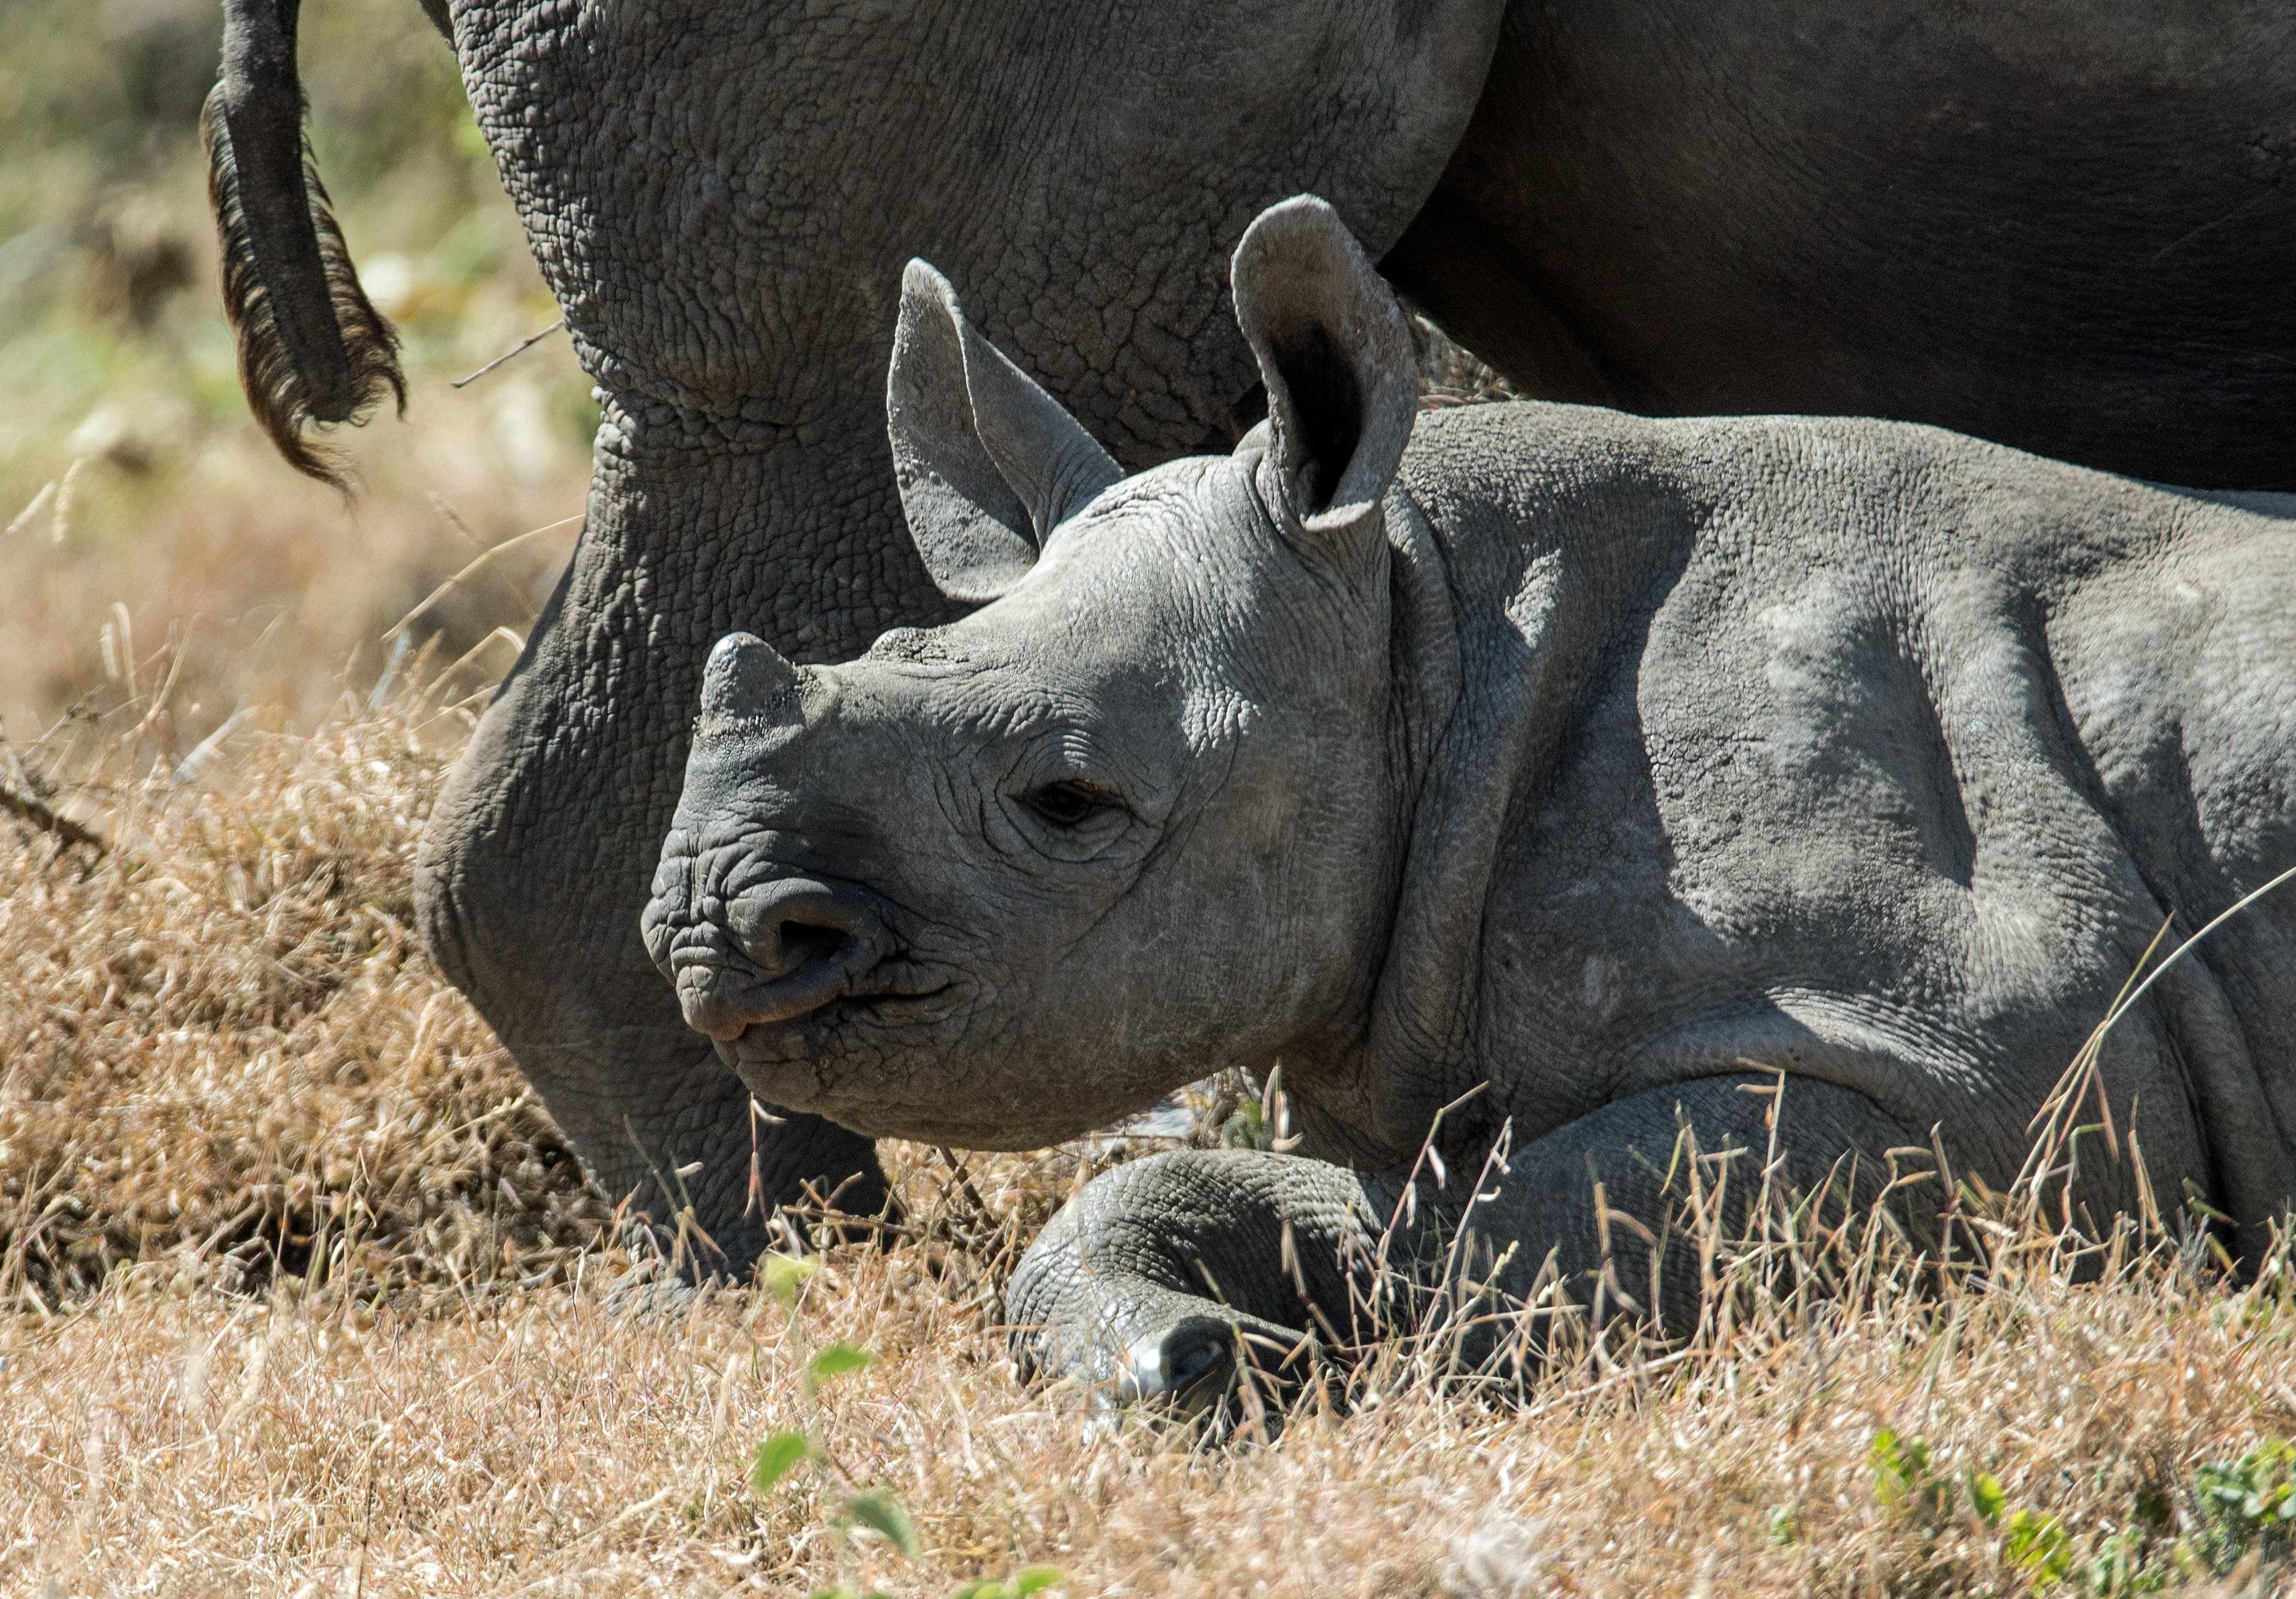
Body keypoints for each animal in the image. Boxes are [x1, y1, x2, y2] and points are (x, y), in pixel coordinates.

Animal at [638, 194, 2296, 1397]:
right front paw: (1189, 1355)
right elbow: (1365, 1210)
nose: (706, 932)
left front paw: (1287, 1370)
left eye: (1066, 799)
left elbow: (1516, 1249)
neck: (1420, 625)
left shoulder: (1978, 1073)